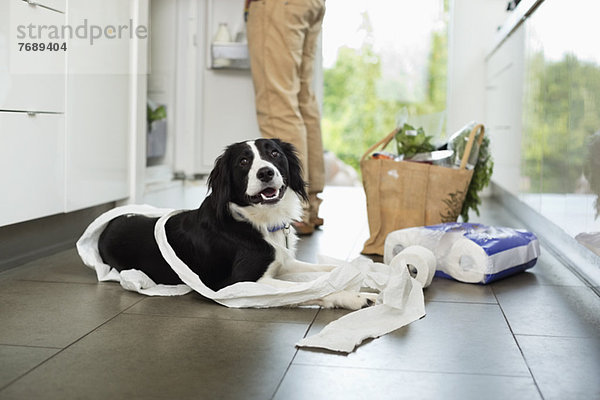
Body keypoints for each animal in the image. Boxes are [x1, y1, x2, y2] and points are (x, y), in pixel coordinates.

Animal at [98, 139, 370, 310]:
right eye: (243, 161)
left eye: (274, 154)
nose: (265, 173)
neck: (257, 222)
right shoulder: (237, 283)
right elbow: (308, 289)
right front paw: (353, 297)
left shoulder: (284, 262)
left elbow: (331, 270)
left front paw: (363, 276)